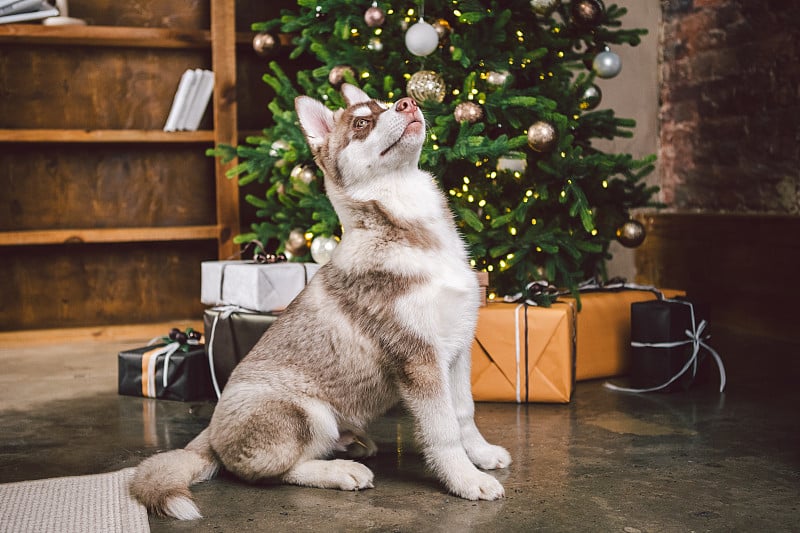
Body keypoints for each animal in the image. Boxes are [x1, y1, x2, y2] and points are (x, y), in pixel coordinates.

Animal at [129, 85, 510, 516]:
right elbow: (443, 430)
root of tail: (208, 432)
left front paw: (481, 455)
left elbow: (463, 413)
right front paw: (465, 480)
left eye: (386, 103)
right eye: (361, 122)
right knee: (270, 472)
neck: (407, 222)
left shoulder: (457, 349)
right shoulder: (419, 358)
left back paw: (353, 443)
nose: (409, 101)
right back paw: (340, 471)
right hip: (305, 412)